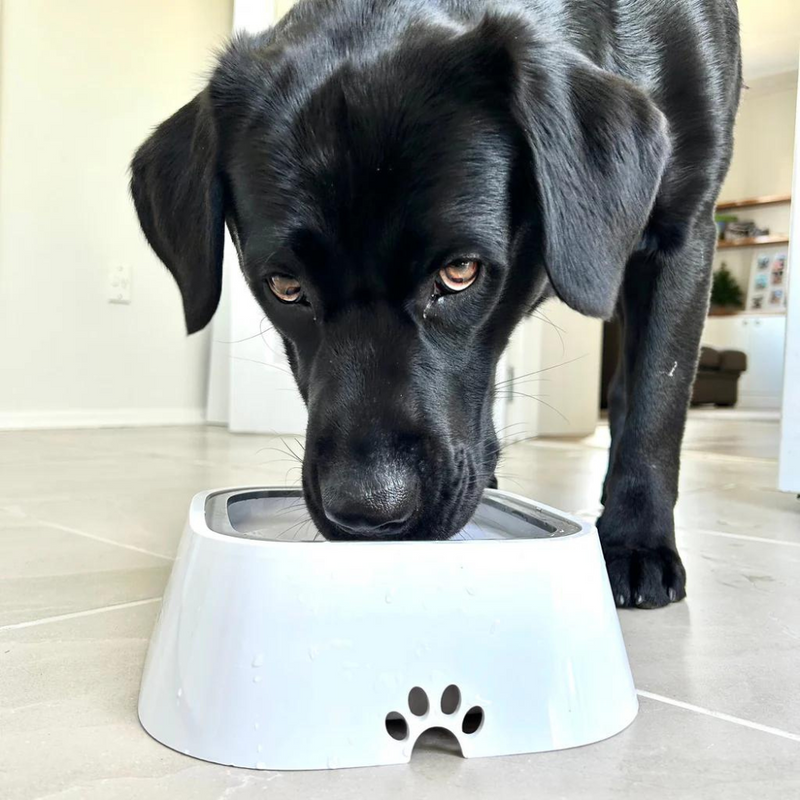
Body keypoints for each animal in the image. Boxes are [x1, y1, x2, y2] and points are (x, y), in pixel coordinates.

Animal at [130, 0, 736, 608]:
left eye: (460, 271)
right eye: (285, 286)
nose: (368, 512)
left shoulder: (686, 232)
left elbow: (658, 399)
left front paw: (636, 541)